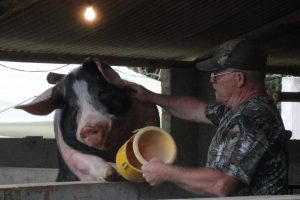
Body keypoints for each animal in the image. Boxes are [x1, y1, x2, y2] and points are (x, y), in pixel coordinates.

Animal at [15, 57, 161, 182]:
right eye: (73, 107)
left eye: (101, 91)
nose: (89, 127)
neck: (110, 150)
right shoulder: (69, 151)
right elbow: (88, 161)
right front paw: (112, 171)